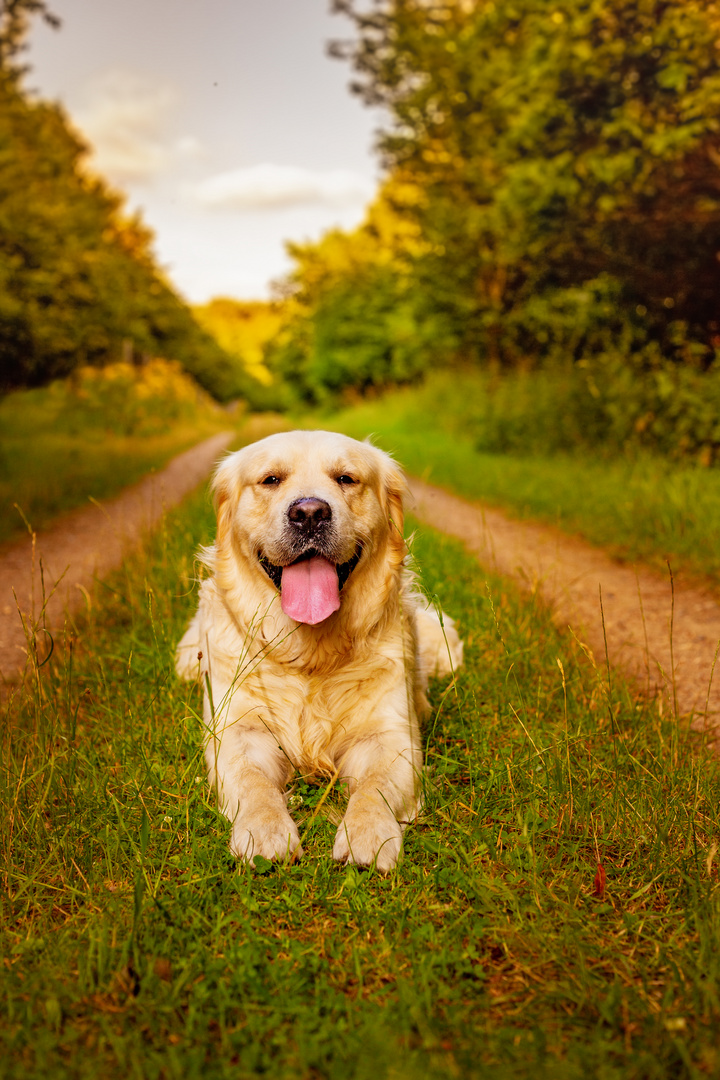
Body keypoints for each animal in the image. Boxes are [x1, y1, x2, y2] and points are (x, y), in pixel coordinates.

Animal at [174, 427, 462, 868]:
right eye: (270, 479)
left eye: (346, 478)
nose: (309, 513)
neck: (309, 653)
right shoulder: (236, 730)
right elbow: (253, 782)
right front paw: (264, 831)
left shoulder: (391, 736)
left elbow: (374, 785)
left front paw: (367, 834)